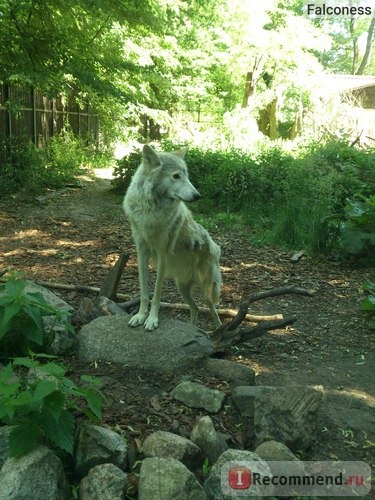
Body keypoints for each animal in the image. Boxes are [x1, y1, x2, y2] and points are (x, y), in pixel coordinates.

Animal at [123, 145, 223, 332]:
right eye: (176, 176)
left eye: (187, 175)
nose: (198, 195)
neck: (151, 209)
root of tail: (216, 247)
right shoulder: (141, 253)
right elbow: (144, 292)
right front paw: (140, 316)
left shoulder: (162, 255)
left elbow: (156, 294)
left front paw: (152, 320)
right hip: (181, 288)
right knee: (196, 308)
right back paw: (192, 329)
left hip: (206, 290)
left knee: (212, 309)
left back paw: (220, 330)